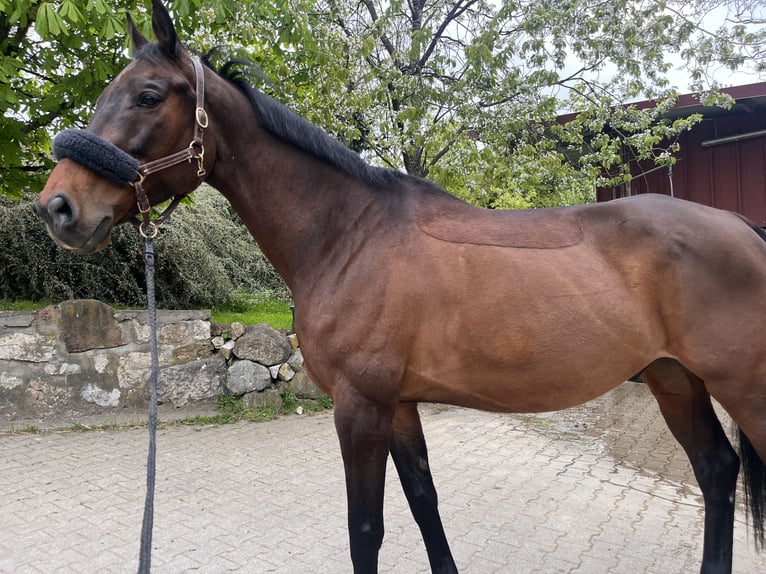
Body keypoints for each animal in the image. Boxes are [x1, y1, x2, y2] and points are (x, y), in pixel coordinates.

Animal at [37, 2, 766, 573]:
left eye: (149, 95)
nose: (58, 208)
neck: (346, 234)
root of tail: (743, 227)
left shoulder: (358, 407)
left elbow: (367, 530)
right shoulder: (399, 405)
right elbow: (425, 506)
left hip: (741, 389)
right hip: (674, 378)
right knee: (716, 472)